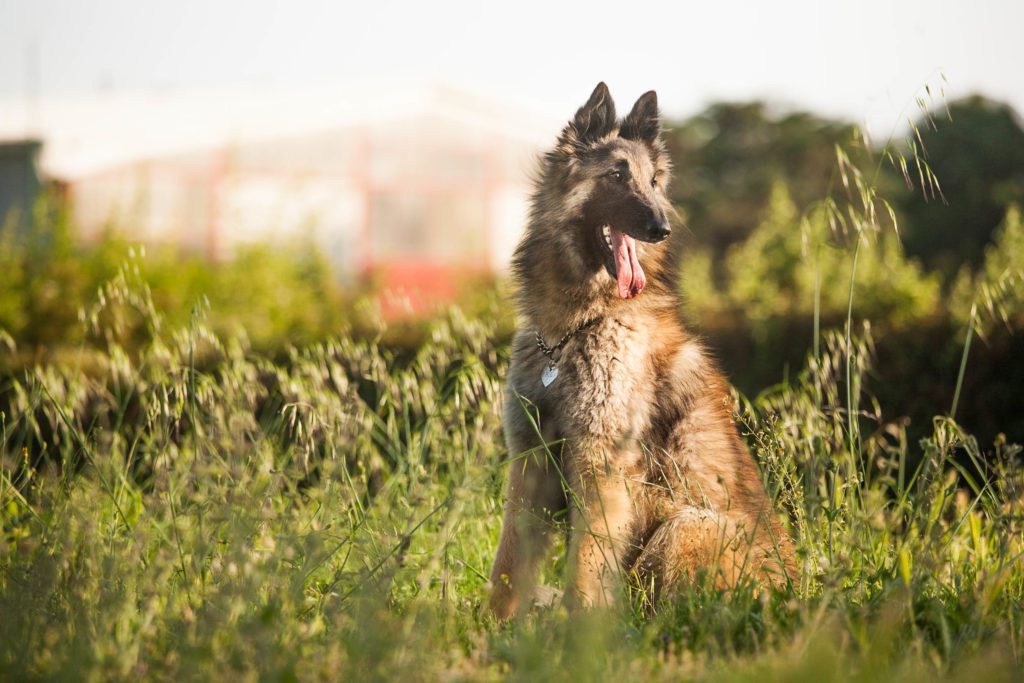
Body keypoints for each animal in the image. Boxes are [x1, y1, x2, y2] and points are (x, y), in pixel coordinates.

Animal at [485, 81, 790, 618]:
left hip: (686, 525)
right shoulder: (532, 464)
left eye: (654, 181)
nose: (662, 227)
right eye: (615, 175)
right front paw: (487, 629)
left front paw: (578, 630)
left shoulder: (601, 468)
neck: (572, 331)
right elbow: (508, 565)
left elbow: (583, 571)